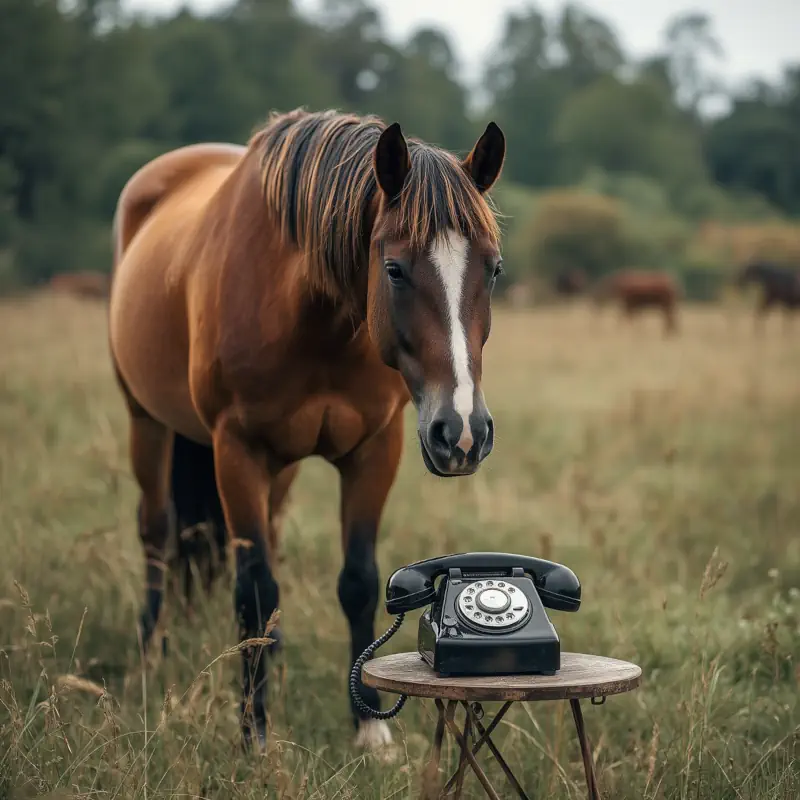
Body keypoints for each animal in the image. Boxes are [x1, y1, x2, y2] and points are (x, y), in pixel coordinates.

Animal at [108, 108, 506, 751]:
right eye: (393, 269)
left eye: (493, 268)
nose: (463, 433)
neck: (311, 315)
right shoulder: (236, 450)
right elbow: (254, 587)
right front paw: (254, 732)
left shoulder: (377, 449)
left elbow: (358, 582)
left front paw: (370, 728)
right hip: (147, 422)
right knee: (156, 531)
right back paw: (151, 650)